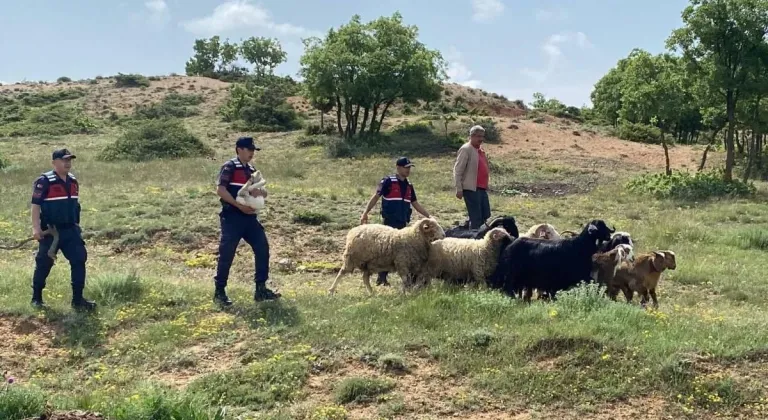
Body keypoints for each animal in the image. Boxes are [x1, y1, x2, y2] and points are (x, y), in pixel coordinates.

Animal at [488, 218, 616, 300]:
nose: (609, 236)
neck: (580, 246)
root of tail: (509, 243)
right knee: (508, 288)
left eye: (604, 225)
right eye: (598, 227)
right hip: (511, 275)